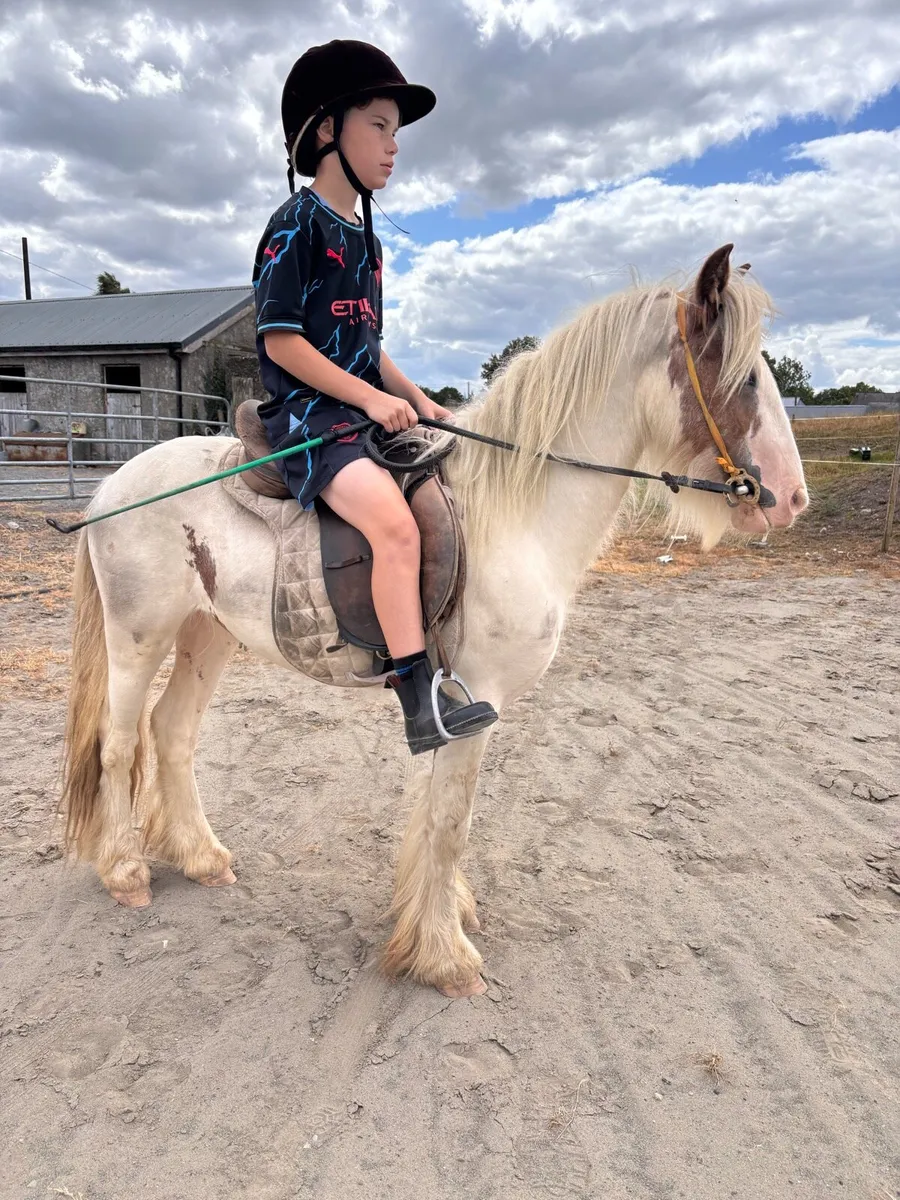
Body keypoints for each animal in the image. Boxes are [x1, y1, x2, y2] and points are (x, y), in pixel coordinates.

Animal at [58, 245, 807, 998]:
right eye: (744, 376)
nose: (792, 498)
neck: (513, 515)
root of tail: (111, 488)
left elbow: (438, 819)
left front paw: (438, 916)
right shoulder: (473, 702)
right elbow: (450, 821)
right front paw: (445, 955)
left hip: (206, 633)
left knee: (171, 731)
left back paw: (201, 856)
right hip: (138, 637)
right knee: (118, 742)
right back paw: (124, 870)